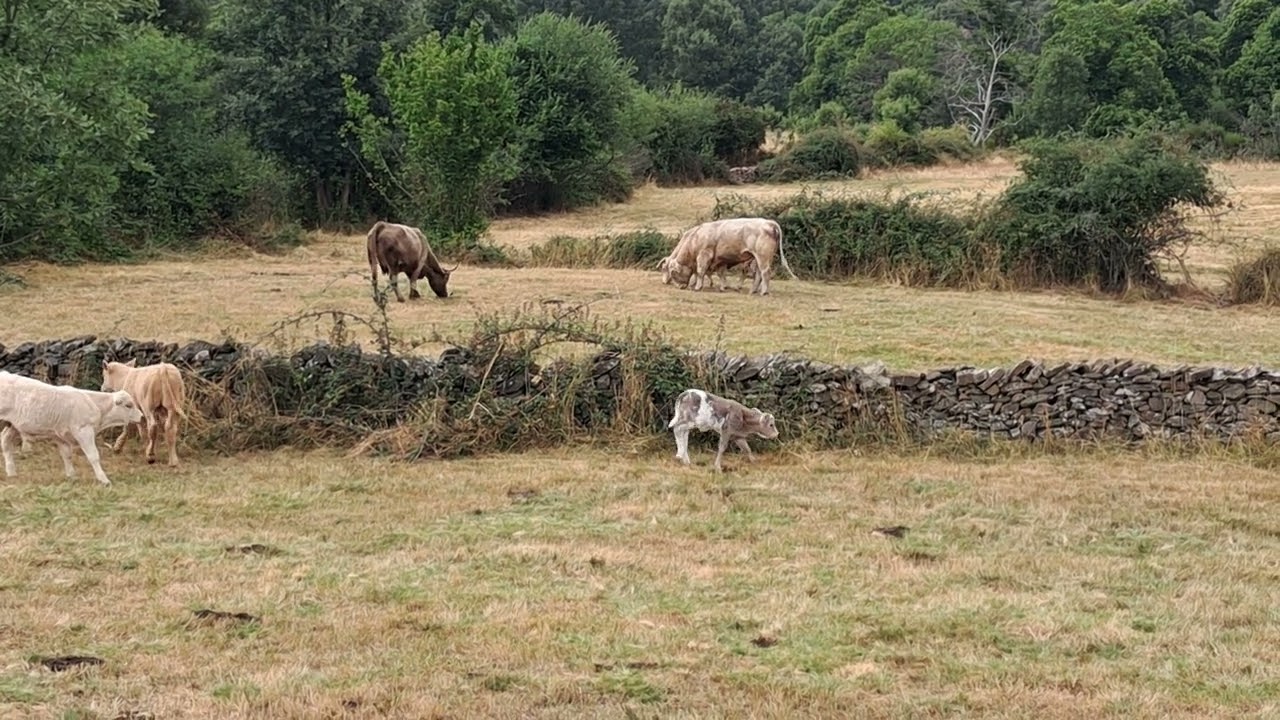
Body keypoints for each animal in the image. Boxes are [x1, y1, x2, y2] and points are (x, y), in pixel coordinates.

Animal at [0, 371, 144, 486]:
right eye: (128, 405)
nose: (141, 416)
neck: (95, 405)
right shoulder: (84, 431)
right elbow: (93, 456)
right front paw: (104, 480)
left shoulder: (60, 435)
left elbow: (67, 455)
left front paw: (72, 476)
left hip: (12, 425)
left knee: (6, 441)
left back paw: (11, 472)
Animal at [658, 217, 796, 295]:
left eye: (671, 272)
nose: (679, 287)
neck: (694, 239)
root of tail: (769, 222)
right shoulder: (720, 260)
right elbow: (720, 274)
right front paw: (722, 287)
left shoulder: (704, 255)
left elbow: (700, 271)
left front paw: (697, 287)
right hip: (758, 258)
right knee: (758, 274)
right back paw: (752, 291)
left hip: (762, 256)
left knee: (764, 273)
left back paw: (763, 292)